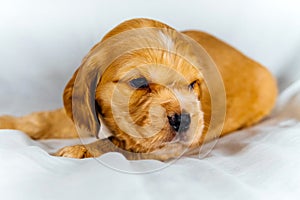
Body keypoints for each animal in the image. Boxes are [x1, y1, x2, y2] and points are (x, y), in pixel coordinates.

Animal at [0, 18, 276, 160]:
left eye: (191, 85)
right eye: (139, 83)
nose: (185, 120)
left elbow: (110, 144)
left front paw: (79, 149)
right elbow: (48, 119)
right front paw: (8, 122)